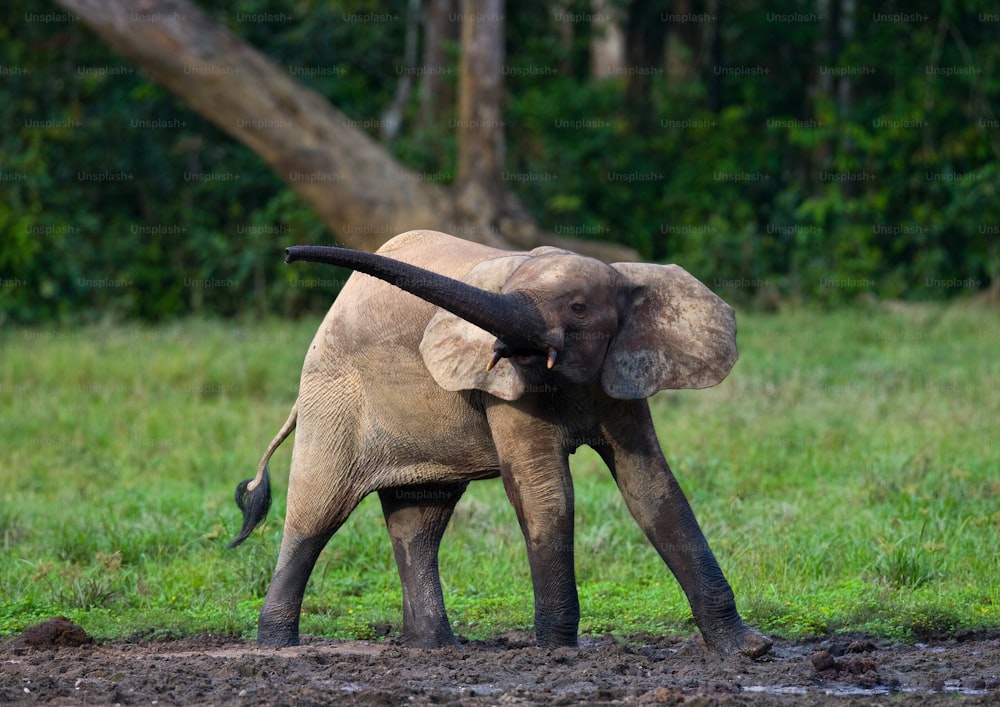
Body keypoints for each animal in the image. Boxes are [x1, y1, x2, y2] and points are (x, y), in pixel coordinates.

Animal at [229, 231, 772, 660]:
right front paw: (559, 654)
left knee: (419, 522)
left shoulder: (619, 379)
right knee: (317, 512)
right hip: (333, 396)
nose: (287, 255)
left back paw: (436, 649)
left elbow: (653, 488)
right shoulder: (507, 391)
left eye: (578, 306)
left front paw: (749, 650)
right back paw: (277, 646)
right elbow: (547, 495)